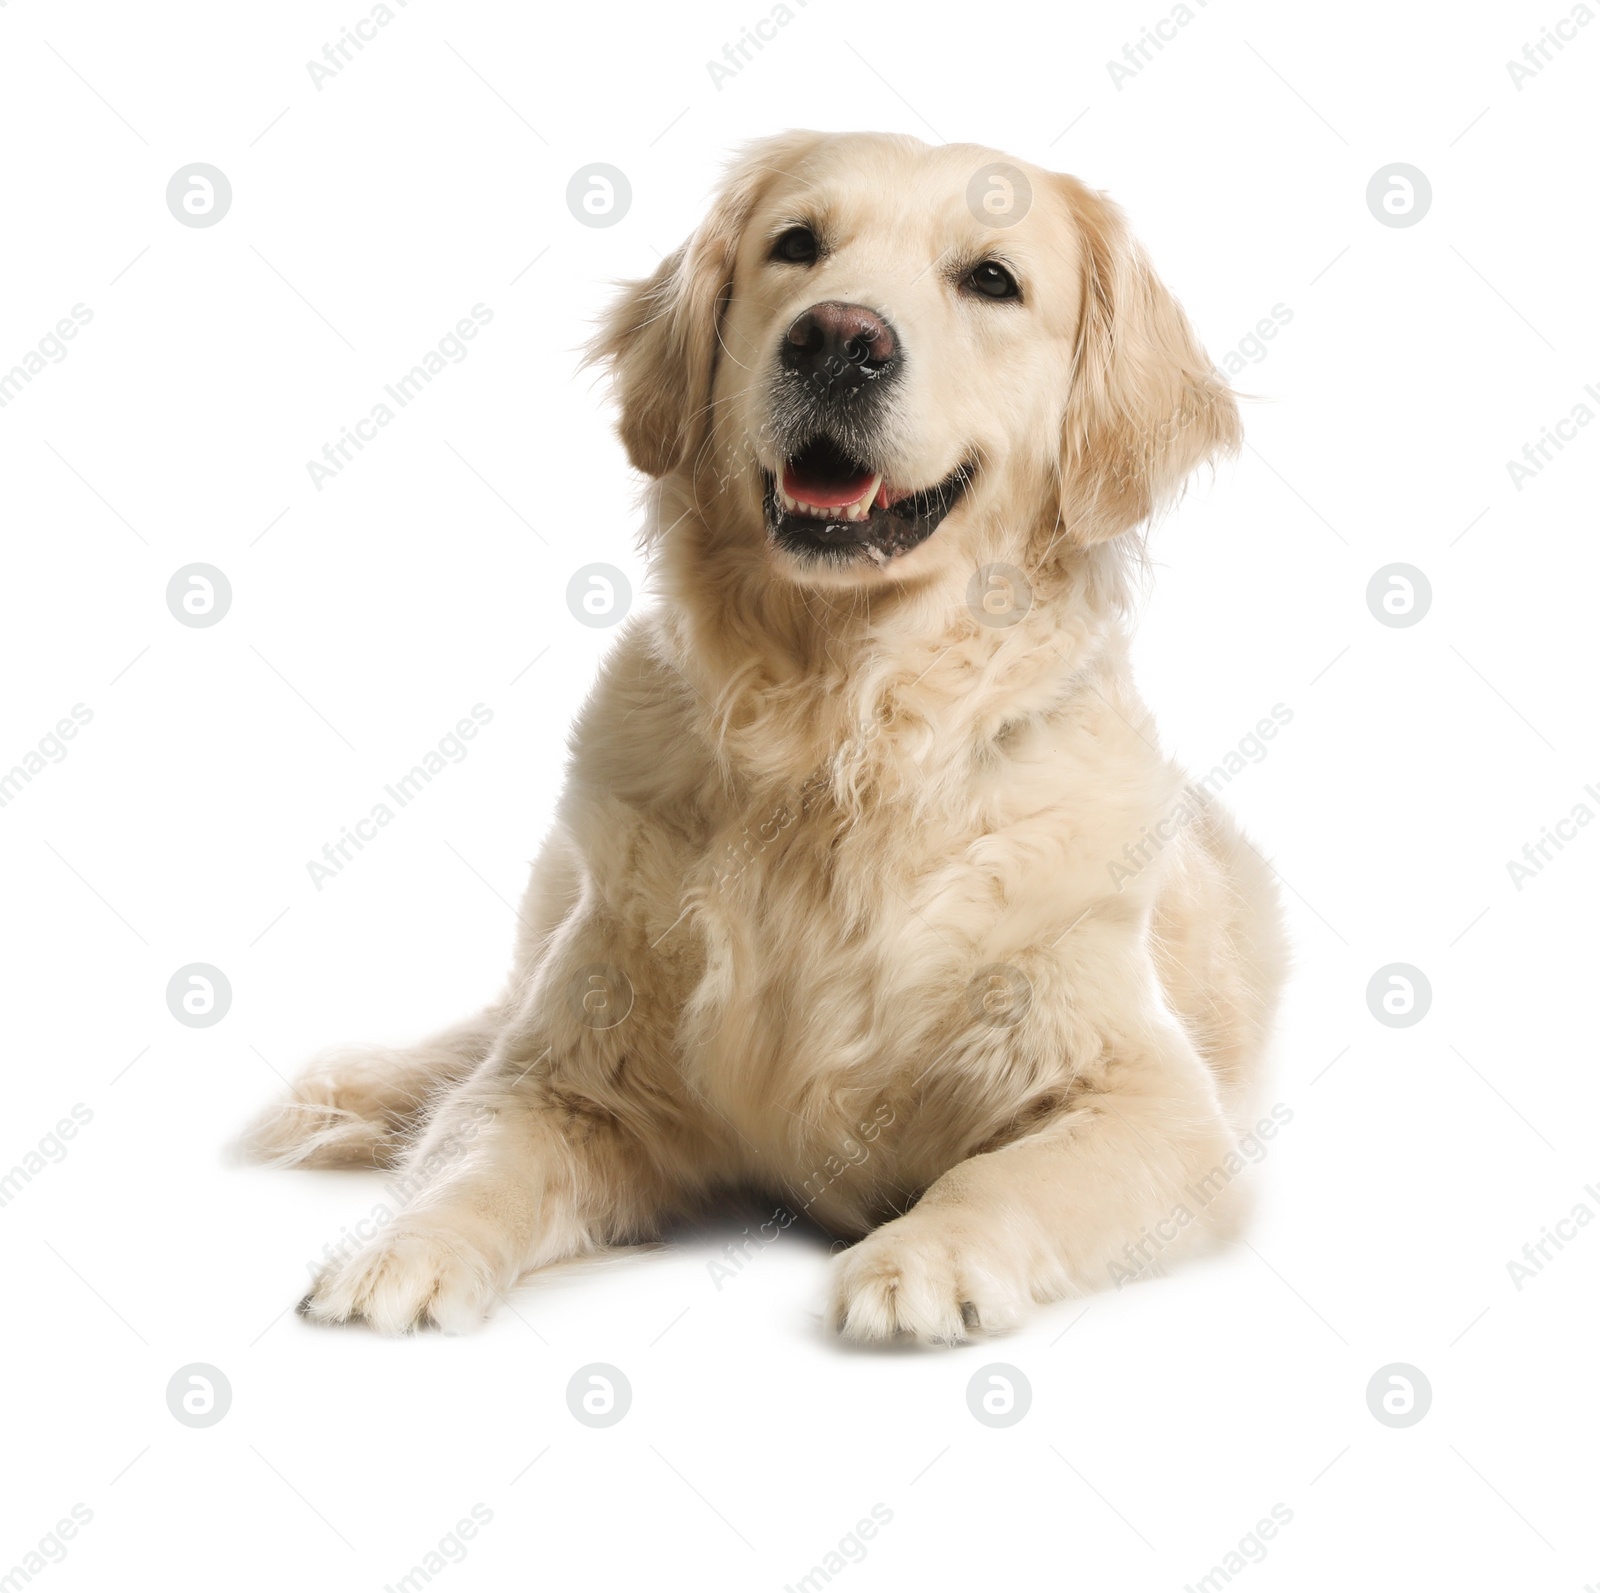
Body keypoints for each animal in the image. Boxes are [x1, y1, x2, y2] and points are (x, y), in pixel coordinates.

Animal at [240, 130, 1286, 1337]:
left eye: (992, 279)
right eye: (797, 245)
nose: (837, 341)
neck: (836, 739)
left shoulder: (1150, 1100)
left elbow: (1006, 1174)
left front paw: (925, 1258)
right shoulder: (569, 1063)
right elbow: (482, 1147)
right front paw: (405, 1248)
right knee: (470, 1047)